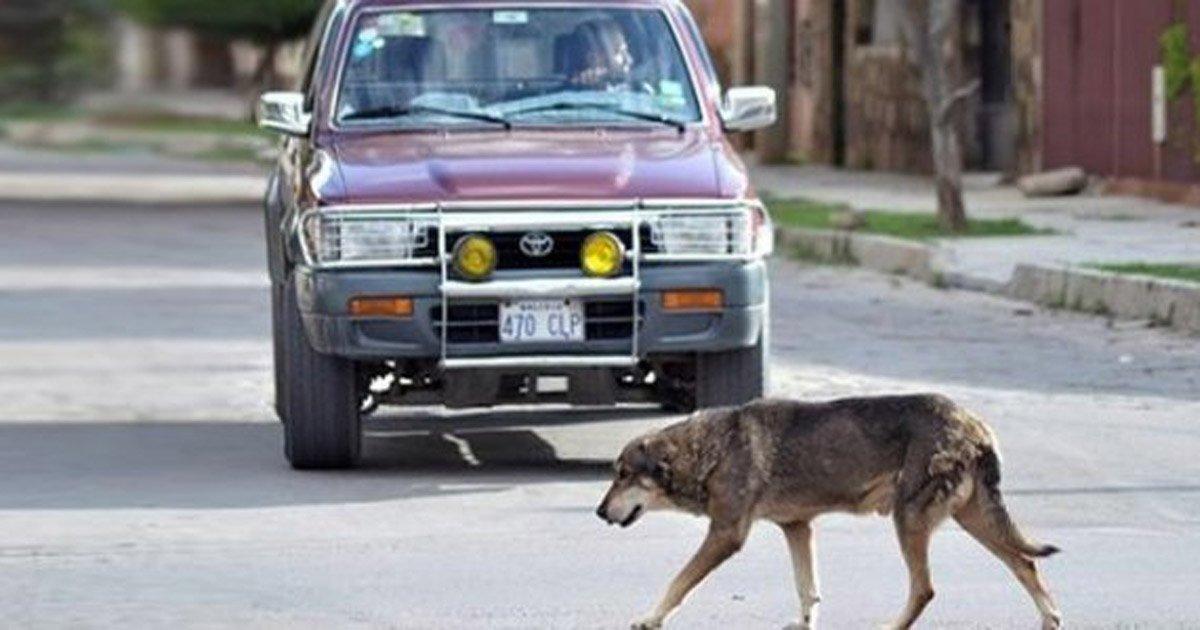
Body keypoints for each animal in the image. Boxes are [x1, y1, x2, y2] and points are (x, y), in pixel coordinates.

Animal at [597, 396, 1060, 624]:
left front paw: (650, 618)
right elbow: (808, 590)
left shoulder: (726, 536)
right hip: (972, 519)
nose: (599, 513)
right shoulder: (797, 527)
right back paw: (1050, 620)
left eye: (623, 475)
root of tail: (976, 426)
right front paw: (804, 623)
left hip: (909, 520)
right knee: (1025, 564)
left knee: (925, 589)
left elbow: (677, 583)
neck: (711, 449)